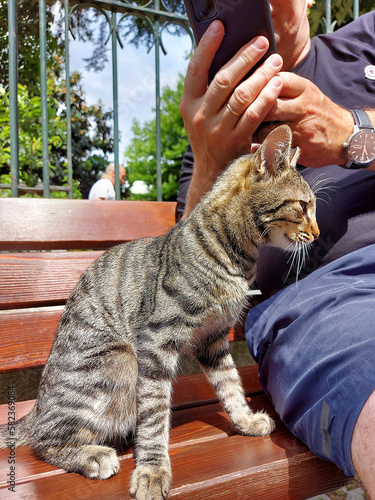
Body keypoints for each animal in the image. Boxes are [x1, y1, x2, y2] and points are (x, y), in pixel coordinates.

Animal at [0, 126, 320, 500]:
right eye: (303, 206)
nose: (316, 234)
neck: (236, 257)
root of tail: (35, 409)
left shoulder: (213, 339)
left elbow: (230, 385)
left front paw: (244, 420)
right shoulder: (156, 341)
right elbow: (154, 415)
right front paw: (152, 469)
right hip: (121, 359)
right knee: (44, 440)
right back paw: (92, 455)